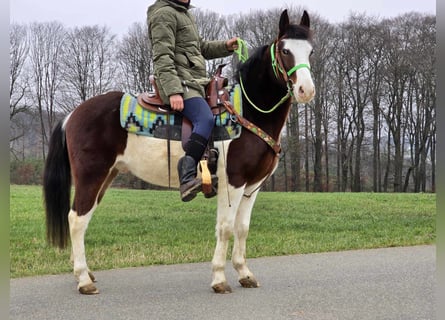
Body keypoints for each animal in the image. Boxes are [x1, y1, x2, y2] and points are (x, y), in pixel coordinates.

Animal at [40, 9, 312, 296]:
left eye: (311, 51)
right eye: (285, 50)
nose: (306, 90)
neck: (246, 112)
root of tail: (72, 115)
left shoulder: (252, 186)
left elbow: (242, 228)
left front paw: (244, 273)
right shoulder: (233, 183)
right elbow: (226, 228)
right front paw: (219, 278)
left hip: (104, 177)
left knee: (84, 217)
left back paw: (85, 273)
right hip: (91, 176)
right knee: (76, 219)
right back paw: (83, 280)